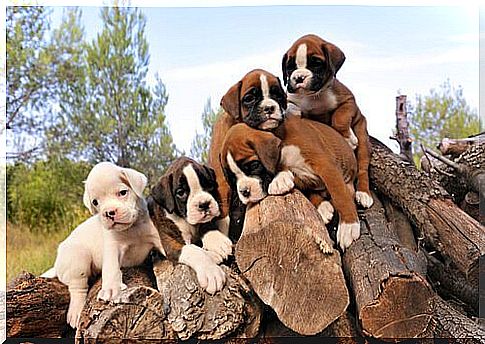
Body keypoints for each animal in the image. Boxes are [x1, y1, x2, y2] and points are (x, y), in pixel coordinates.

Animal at [40, 161, 164, 328]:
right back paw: (76, 311)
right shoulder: (113, 246)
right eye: (95, 202)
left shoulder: (156, 237)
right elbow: (111, 268)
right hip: (78, 258)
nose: (109, 212)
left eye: (123, 192)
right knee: (77, 287)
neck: (133, 227)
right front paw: (111, 289)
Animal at [147, 157, 232, 294]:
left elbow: (206, 226)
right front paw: (211, 272)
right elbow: (194, 251)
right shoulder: (173, 244)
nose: (204, 204)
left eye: (209, 185)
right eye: (181, 192)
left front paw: (217, 242)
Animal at [219, 117, 360, 251]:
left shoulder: (325, 166)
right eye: (232, 178)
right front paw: (280, 180)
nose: (244, 192)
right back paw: (323, 207)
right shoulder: (300, 176)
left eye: (254, 165)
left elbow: (340, 195)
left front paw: (348, 226)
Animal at [282, 34, 372, 210]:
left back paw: (364, 193)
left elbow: (339, 118)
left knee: (363, 168)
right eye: (290, 67)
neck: (312, 96)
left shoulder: (348, 101)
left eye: (316, 63)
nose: (299, 77)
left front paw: (348, 139)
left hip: (362, 136)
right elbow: (290, 106)